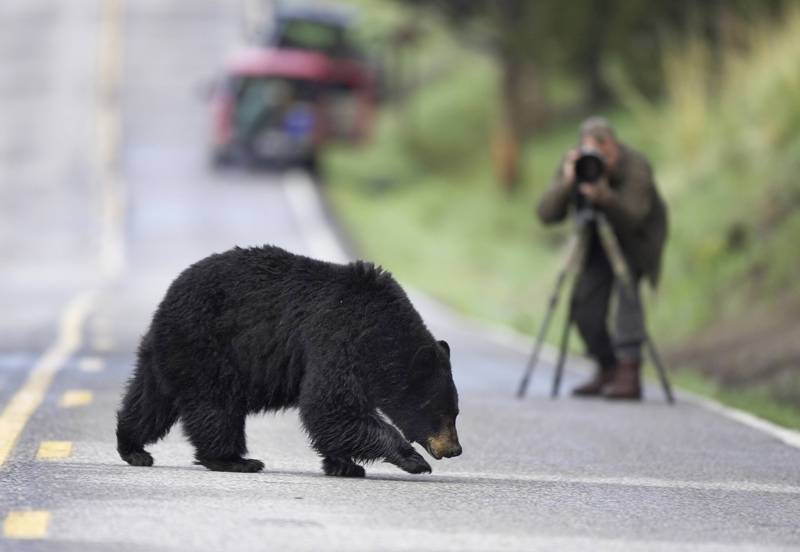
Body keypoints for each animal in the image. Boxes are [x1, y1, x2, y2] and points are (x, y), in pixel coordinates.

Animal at [116, 245, 461, 477]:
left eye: (455, 412)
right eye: (441, 412)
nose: (455, 449)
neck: (378, 331)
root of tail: (167, 299)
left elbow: (334, 413)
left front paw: (343, 464)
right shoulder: (336, 338)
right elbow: (330, 404)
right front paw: (413, 460)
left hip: (168, 356)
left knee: (150, 401)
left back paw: (133, 448)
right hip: (208, 348)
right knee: (216, 407)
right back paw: (235, 460)